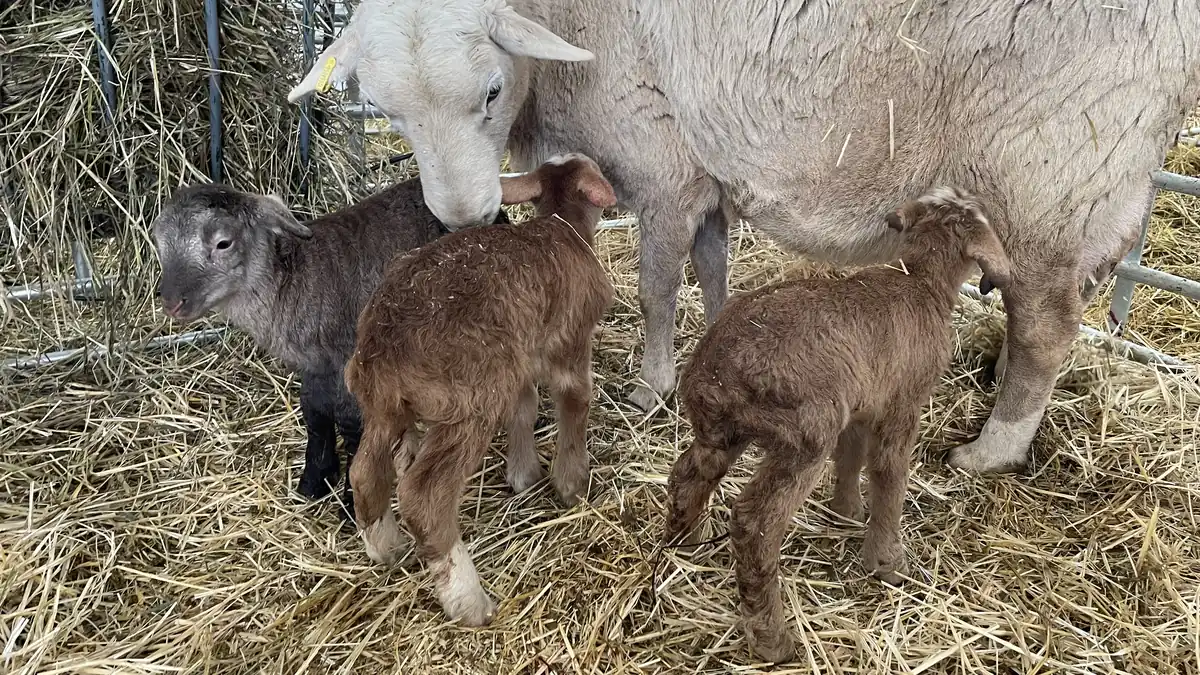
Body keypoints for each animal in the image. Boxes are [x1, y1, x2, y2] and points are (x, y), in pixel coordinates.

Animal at [152, 178, 508, 521]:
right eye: (159, 243)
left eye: (223, 243)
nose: (171, 302)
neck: (295, 280)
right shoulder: (315, 365)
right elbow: (315, 413)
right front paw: (315, 478)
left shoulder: (350, 358)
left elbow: (351, 424)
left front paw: (351, 501)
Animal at [287, 0, 1198, 474]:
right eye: (385, 109)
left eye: (488, 91)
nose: (465, 217)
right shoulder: (705, 171)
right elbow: (713, 264)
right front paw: (713, 339)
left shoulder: (658, 159)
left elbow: (657, 285)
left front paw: (652, 384)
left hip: (1051, 175)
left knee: (1046, 329)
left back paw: (992, 448)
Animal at [343, 153, 615, 626]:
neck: (562, 225)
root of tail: (381, 353)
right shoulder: (570, 341)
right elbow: (575, 400)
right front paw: (571, 483)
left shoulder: (521, 361)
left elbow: (525, 408)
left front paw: (523, 475)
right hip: (470, 402)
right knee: (423, 497)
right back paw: (468, 601)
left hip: (383, 408)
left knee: (365, 474)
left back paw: (386, 548)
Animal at [660, 187, 1012, 664]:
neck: (921, 282)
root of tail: (716, 376)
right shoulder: (902, 404)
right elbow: (888, 473)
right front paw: (888, 562)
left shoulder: (863, 403)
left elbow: (851, 457)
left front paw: (846, 513)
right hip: (805, 432)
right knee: (755, 525)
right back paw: (772, 640)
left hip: (721, 428)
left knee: (688, 474)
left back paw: (682, 539)